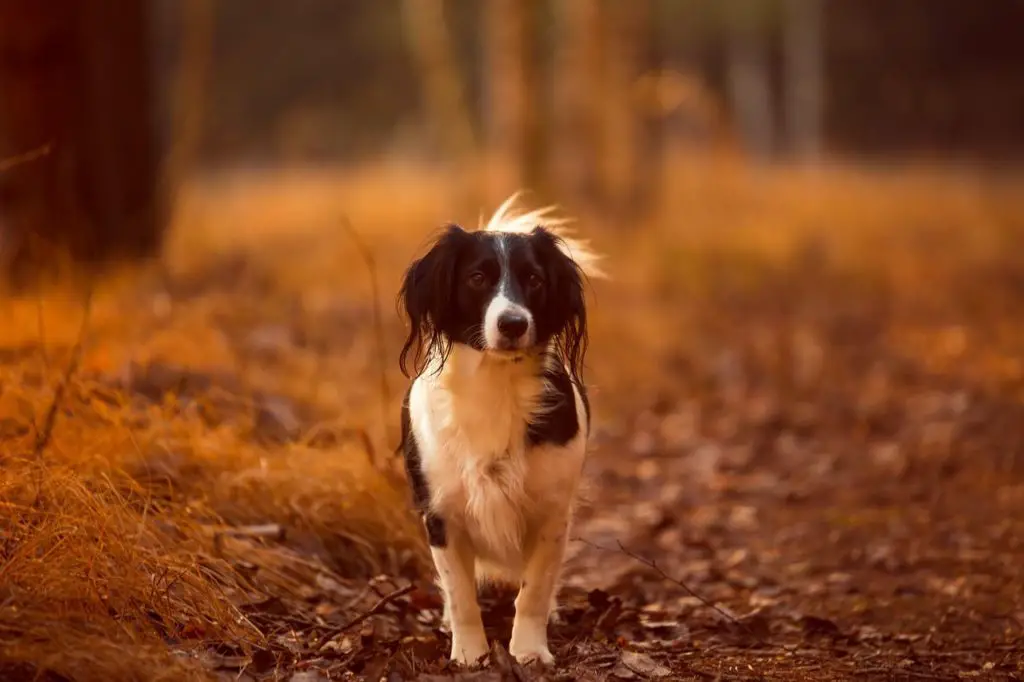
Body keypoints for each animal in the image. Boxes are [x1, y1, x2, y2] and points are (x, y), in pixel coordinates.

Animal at [397, 193, 606, 659]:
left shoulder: (551, 514)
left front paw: (528, 651)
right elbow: (460, 594)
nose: (513, 323)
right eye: (477, 278)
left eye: (534, 279)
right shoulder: (442, 514)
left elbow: (534, 590)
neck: (495, 385)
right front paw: (470, 654)